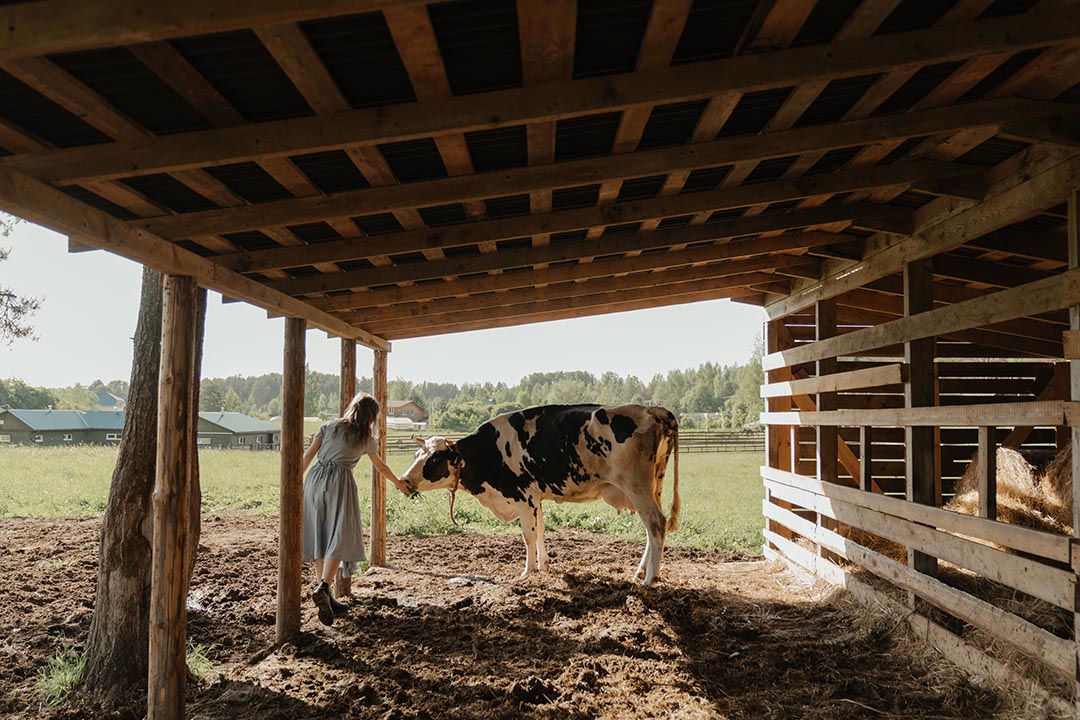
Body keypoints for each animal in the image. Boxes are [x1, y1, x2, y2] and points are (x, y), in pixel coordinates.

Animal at [401, 405, 678, 587]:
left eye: (435, 459)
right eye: (416, 455)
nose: (404, 479)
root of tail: (653, 409)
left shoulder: (524, 499)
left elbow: (528, 536)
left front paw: (528, 571)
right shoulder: (536, 499)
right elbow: (541, 530)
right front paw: (544, 566)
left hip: (637, 487)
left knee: (656, 524)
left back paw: (649, 579)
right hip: (654, 486)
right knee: (653, 530)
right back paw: (641, 572)